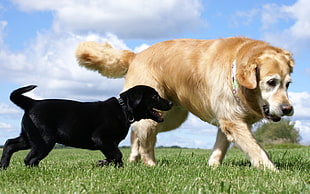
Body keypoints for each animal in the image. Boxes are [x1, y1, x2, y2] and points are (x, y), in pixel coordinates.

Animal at [0, 85, 173, 168]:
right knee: (29, 159)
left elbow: (114, 156)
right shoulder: (101, 138)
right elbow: (117, 155)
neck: (124, 109)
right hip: (44, 140)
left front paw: (106, 164)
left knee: (9, 143)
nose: (171, 103)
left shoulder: (108, 143)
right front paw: (104, 163)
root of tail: (32, 103)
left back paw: (4, 166)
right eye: (155, 96)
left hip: (29, 136)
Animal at [76, 36, 294, 170]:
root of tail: (136, 55)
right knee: (145, 140)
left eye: (288, 84)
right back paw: (150, 164)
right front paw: (272, 171)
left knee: (137, 132)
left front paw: (213, 166)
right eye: (271, 82)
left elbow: (219, 148)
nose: (288, 109)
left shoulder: (226, 120)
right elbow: (256, 149)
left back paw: (134, 158)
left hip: (169, 116)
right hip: (155, 115)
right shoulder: (232, 121)